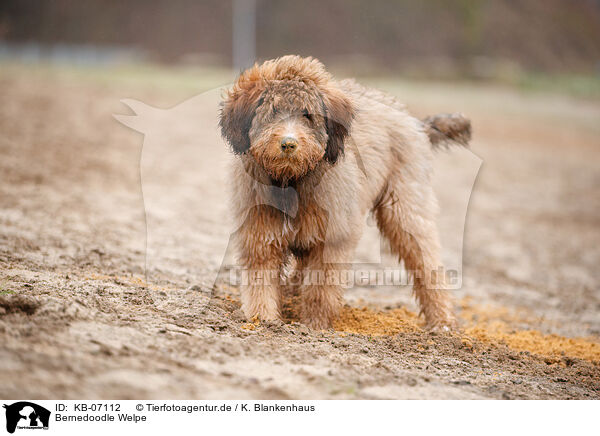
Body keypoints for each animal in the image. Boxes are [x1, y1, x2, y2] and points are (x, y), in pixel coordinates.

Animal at [218, 54, 472, 328]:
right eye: (273, 111)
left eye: (307, 115)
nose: (288, 144)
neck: (291, 182)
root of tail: (414, 122)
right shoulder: (259, 231)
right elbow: (260, 279)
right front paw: (262, 318)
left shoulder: (333, 237)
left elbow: (321, 288)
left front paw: (314, 325)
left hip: (406, 207)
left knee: (427, 261)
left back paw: (442, 321)